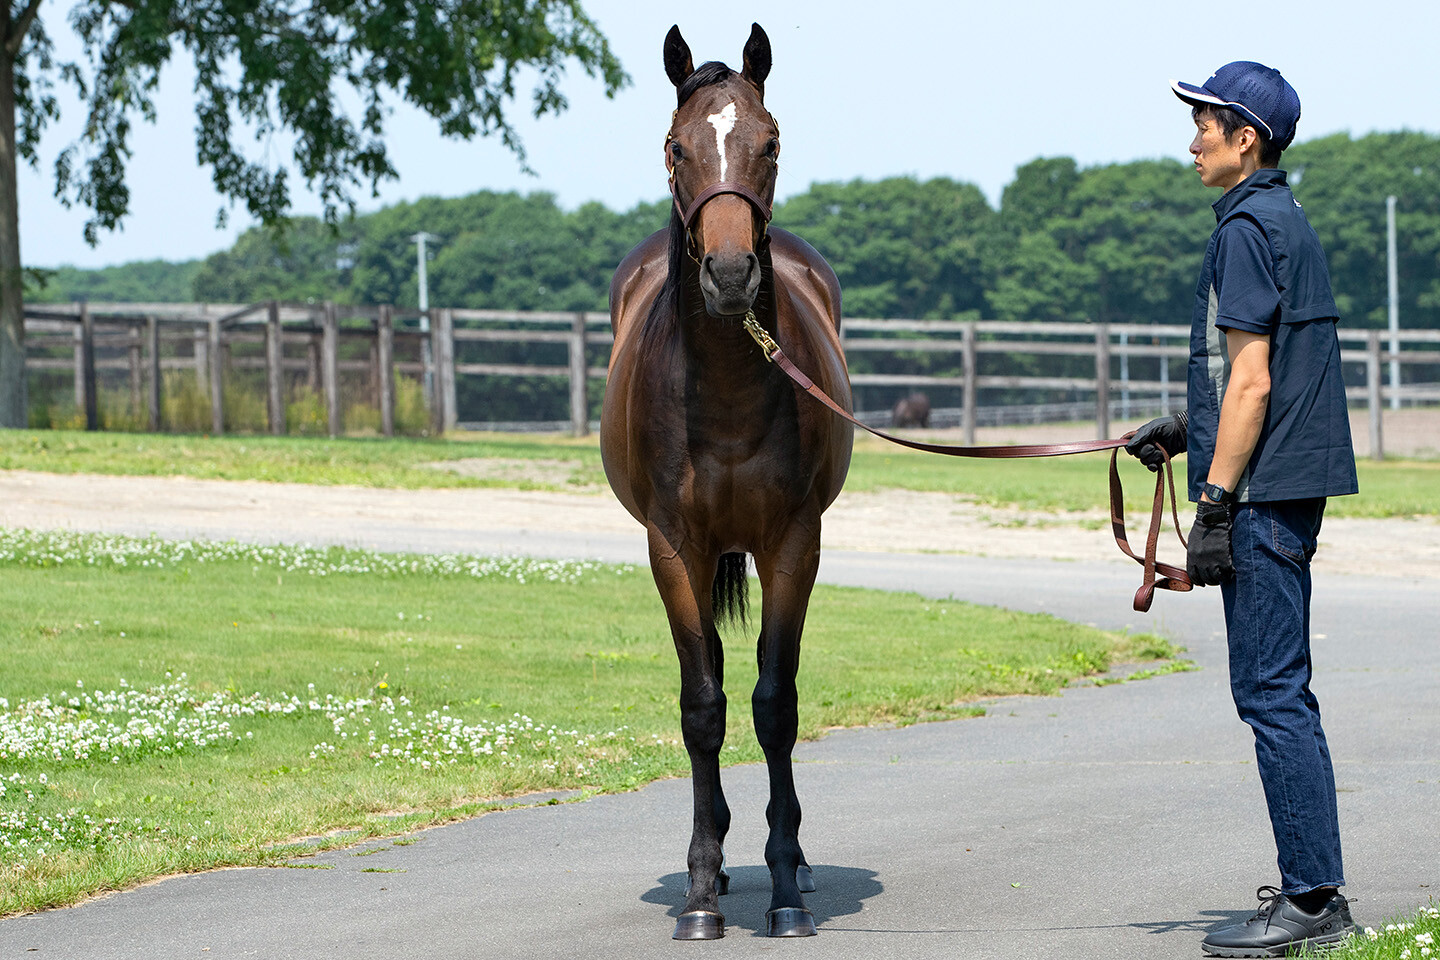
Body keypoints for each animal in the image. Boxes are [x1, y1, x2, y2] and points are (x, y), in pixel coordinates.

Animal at [599, 24, 852, 944]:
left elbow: (774, 703)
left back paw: (795, 860)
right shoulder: (673, 547)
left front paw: (783, 889)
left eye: (768, 142)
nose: (734, 274)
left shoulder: (794, 544)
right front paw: (704, 893)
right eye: (677, 147)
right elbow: (702, 706)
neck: (730, 389)